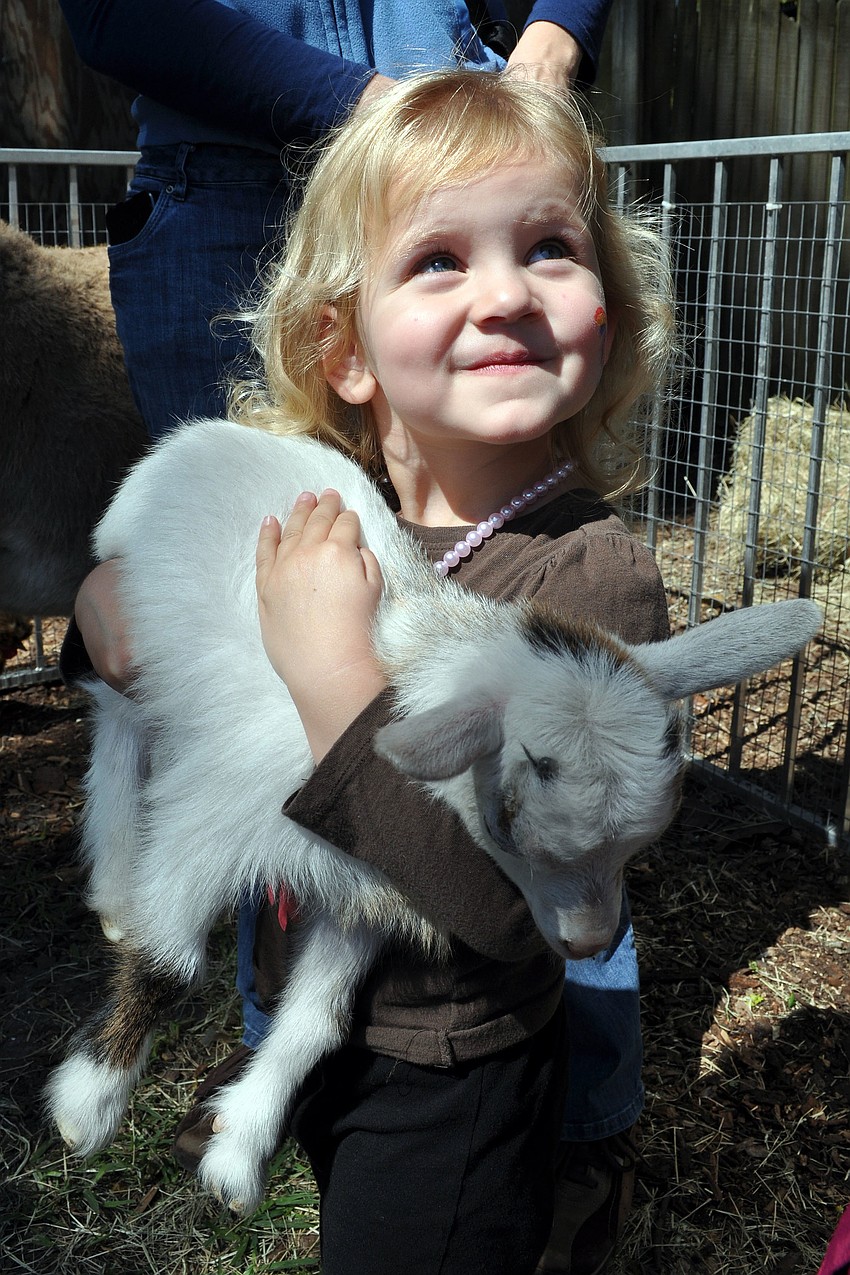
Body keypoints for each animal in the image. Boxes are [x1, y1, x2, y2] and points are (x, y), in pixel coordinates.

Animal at [45, 417, 822, 1213]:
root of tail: (208, 435)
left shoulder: (367, 878)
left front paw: (239, 1151)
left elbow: (317, 1022)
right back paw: (114, 884)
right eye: (508, 820)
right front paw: (87, 1107)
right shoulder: (210, 820)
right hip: (125, 610)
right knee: (116, 719)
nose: (588, 940)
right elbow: (169, 965)